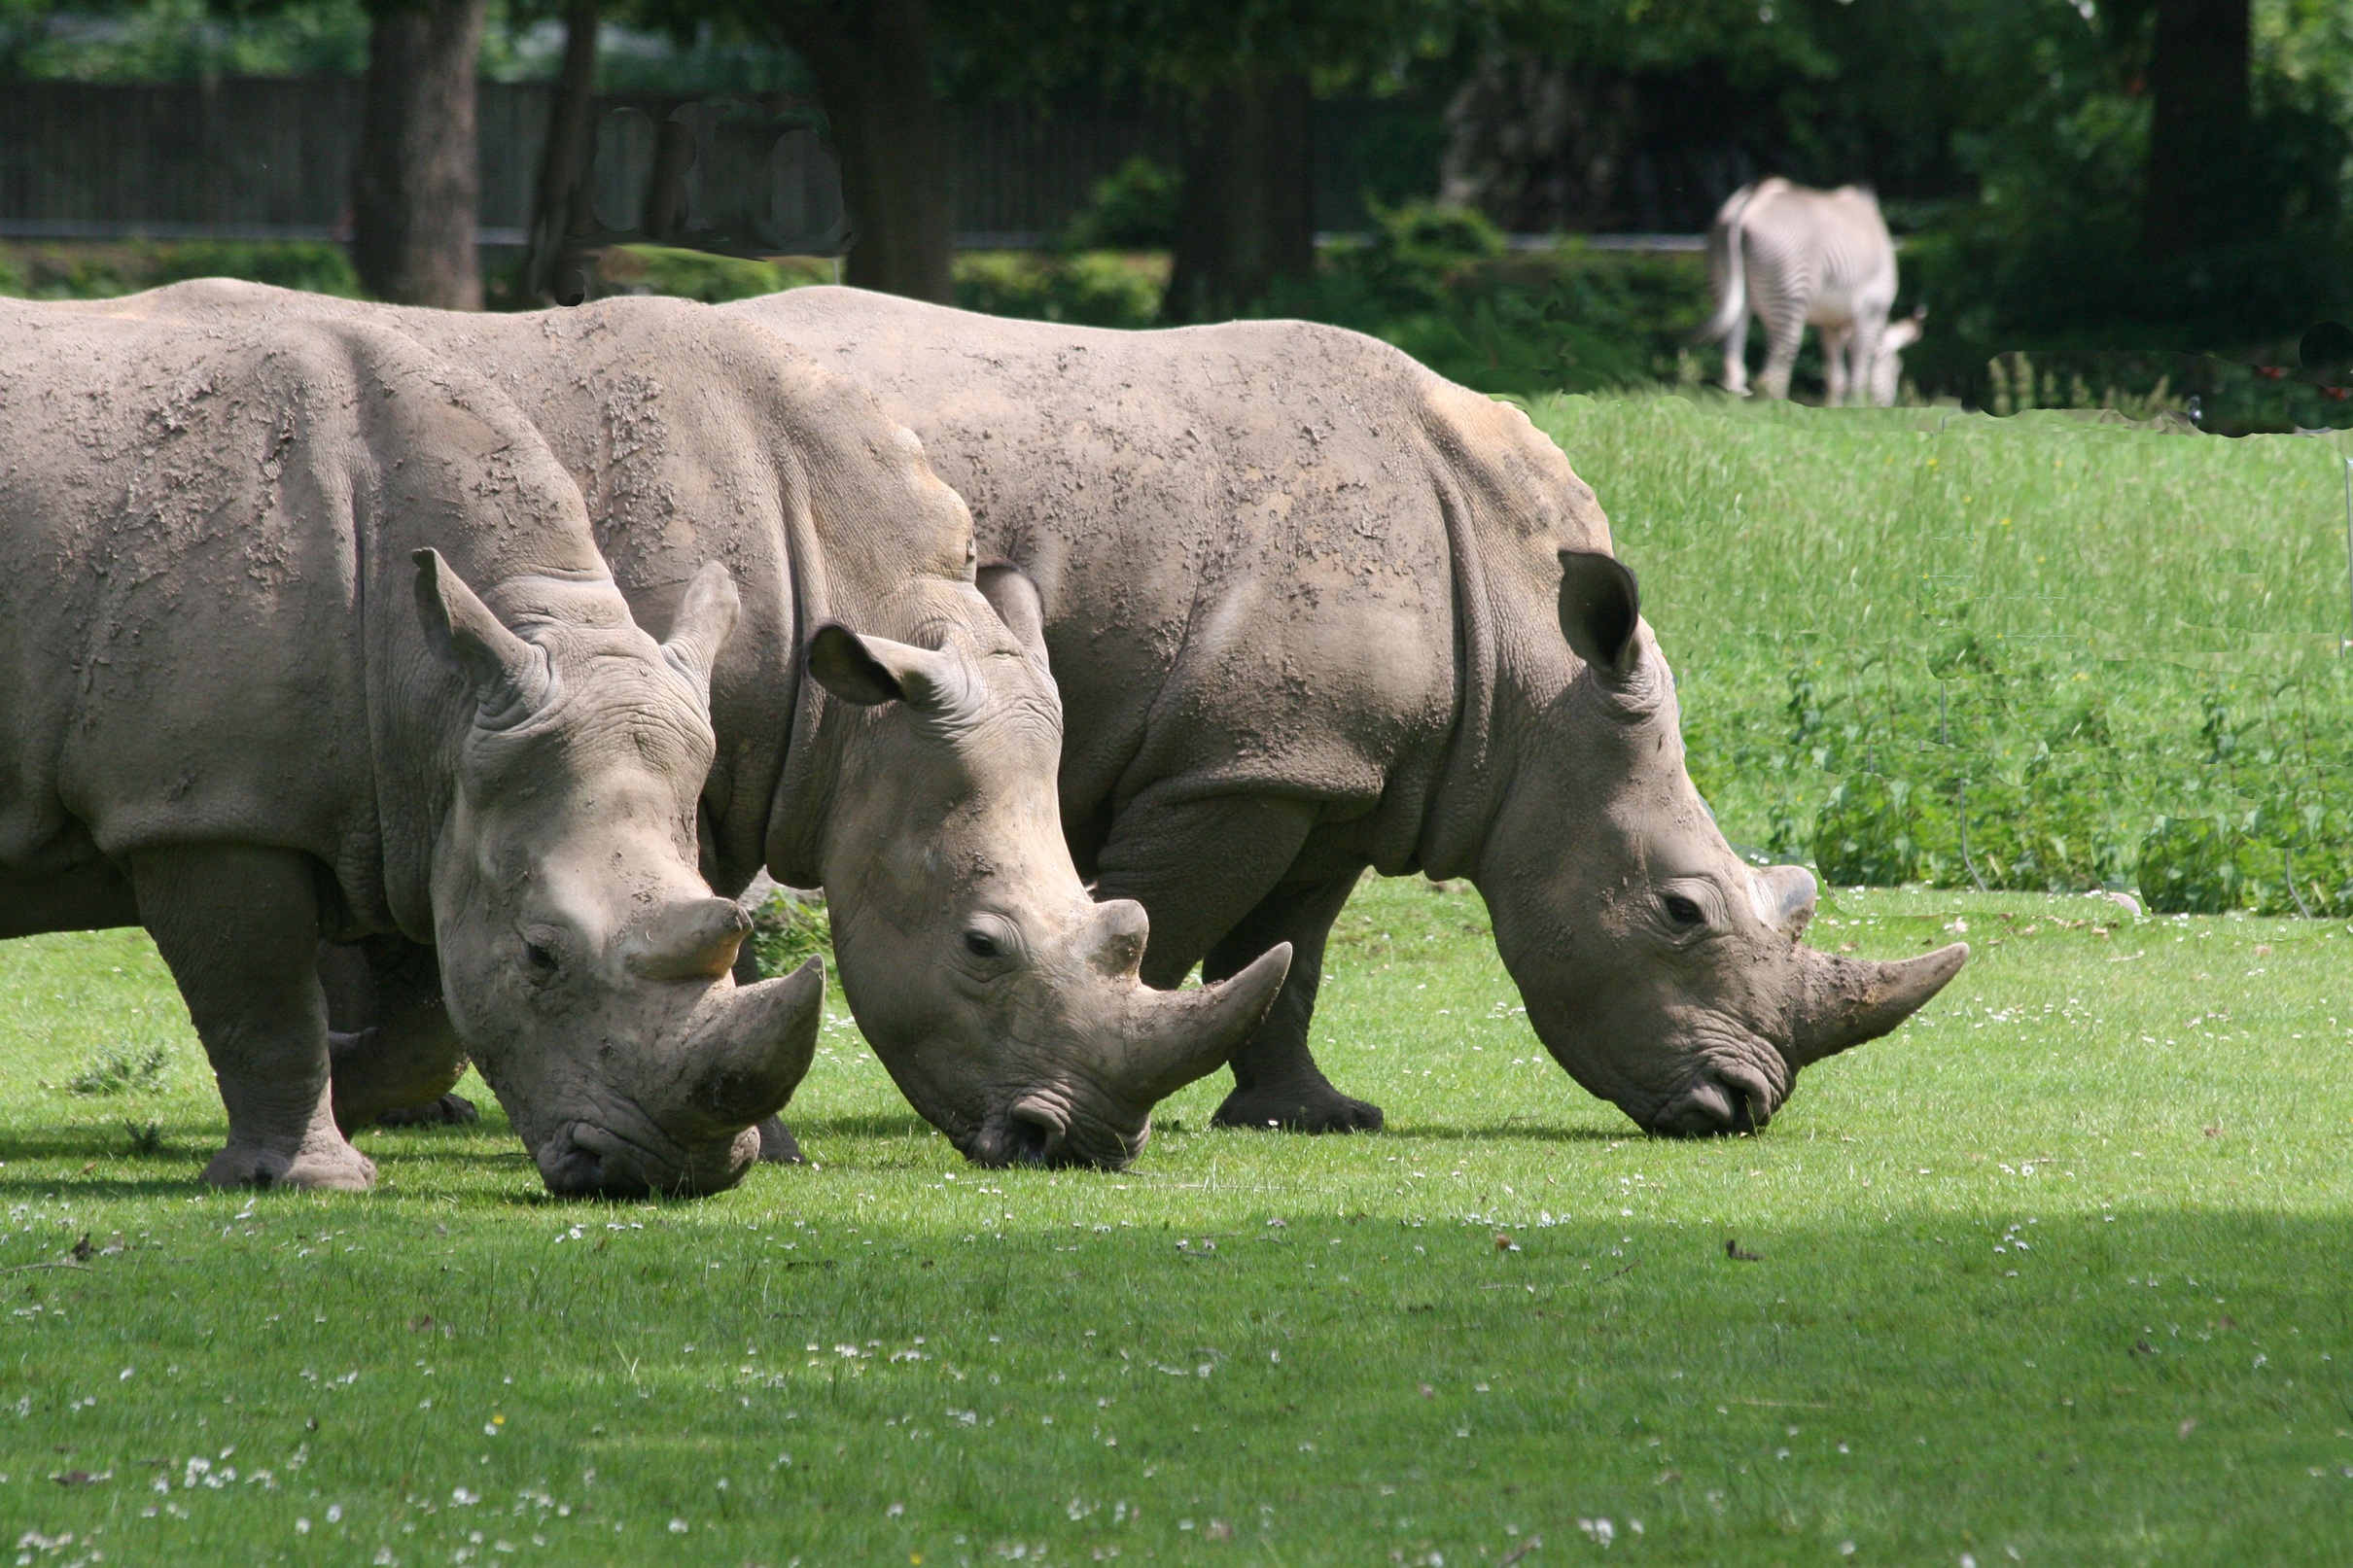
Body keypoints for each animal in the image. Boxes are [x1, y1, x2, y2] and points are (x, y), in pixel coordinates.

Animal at [1703, 181, 1919, 408]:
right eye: (1897, 369)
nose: (1887, 407)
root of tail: (1750, 202)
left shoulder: (1831, 324)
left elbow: (1836, 377)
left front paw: (1834, 409)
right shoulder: (1871, 311)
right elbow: (1859, 369)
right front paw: (1857, 407)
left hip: (1727, 287)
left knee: (1733, 367)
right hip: (1789, 296)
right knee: (1772, 376)